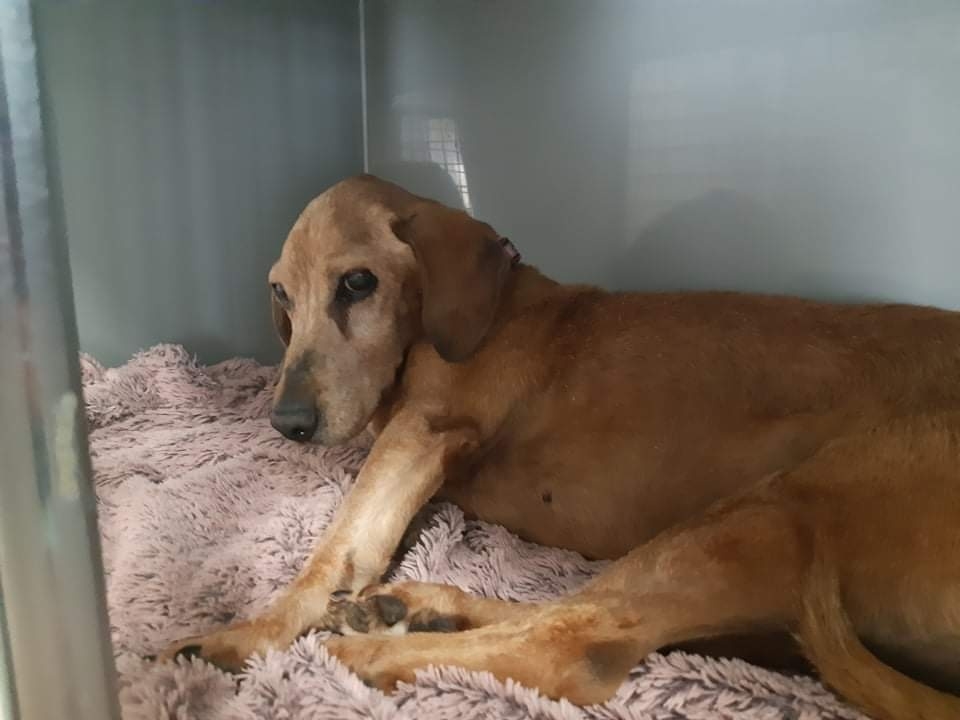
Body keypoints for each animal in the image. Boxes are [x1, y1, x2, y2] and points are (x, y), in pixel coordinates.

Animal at [162, 175, 960, 720]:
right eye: (280, 295)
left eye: (358, 283)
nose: (288, 423)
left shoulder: (422, 432)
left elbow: (329, 553)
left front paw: (248, 635)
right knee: (569, 612)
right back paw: (415, 607)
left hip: (773, 509)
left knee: (569, 647)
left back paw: (369, 651)